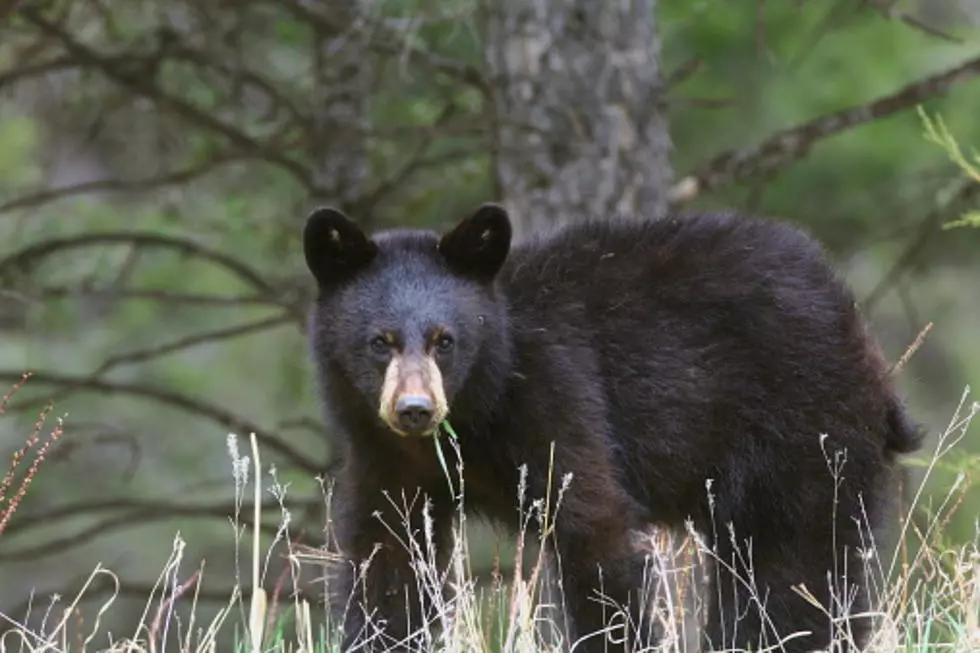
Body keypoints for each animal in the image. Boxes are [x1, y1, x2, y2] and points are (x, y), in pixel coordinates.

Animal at [302, 201, 924, 648]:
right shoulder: (386, 460)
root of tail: (856, 325)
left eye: (444, 340)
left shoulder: (559, 399)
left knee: (793, 565)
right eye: (380, 342)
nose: (415, 409)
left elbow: (595, 534)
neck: (479, 409)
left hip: (802, 427)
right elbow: (388, 561)